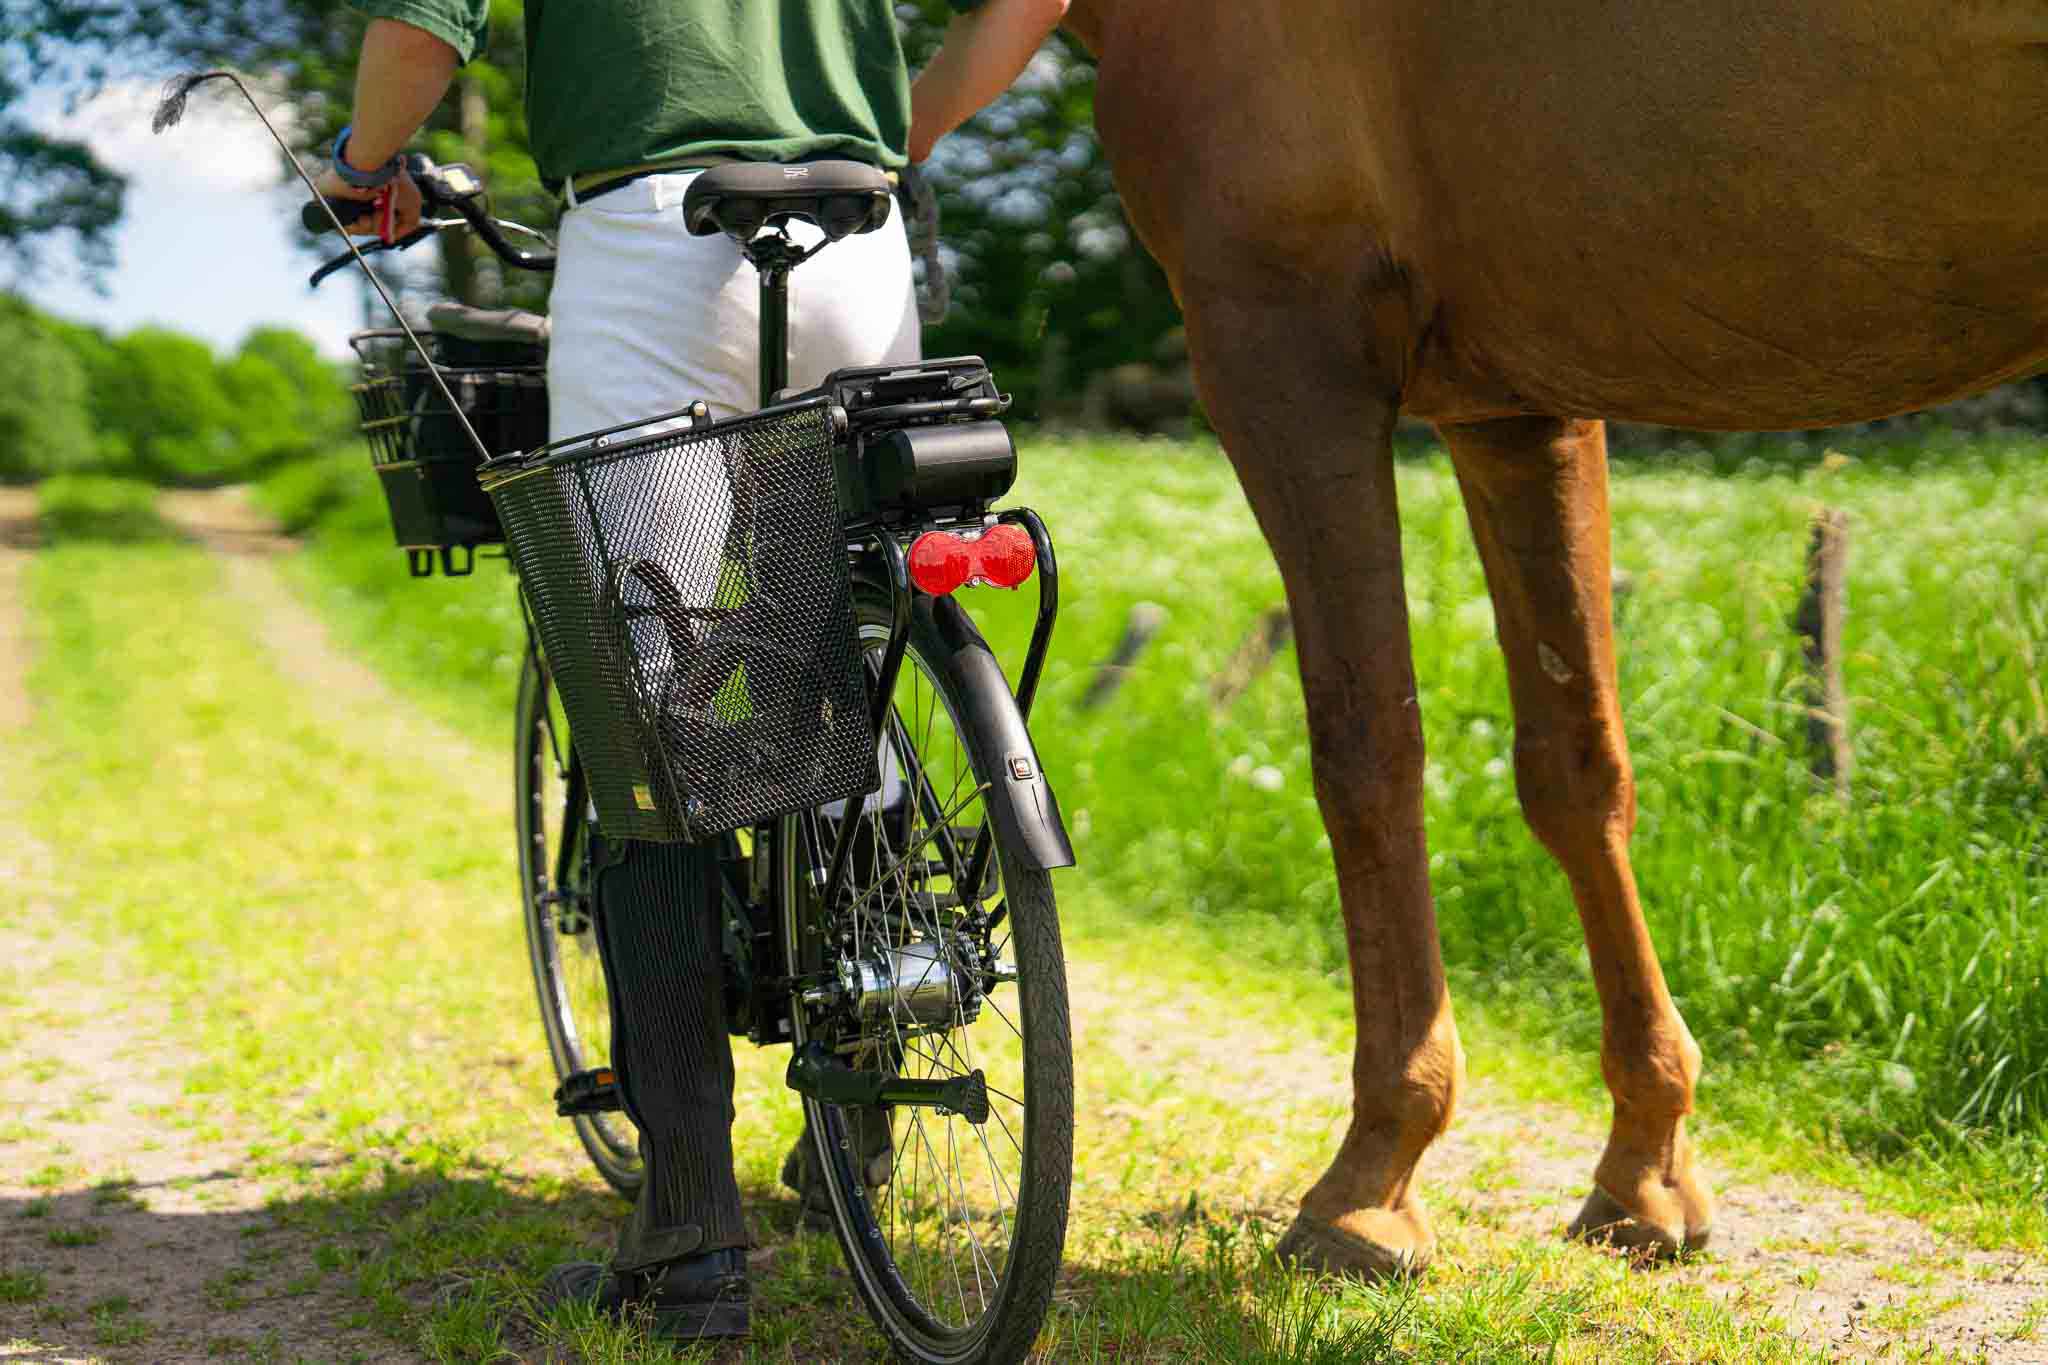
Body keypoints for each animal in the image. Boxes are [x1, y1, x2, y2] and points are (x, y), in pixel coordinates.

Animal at [1060, 0, 2048, 1274]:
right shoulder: (1515, 402)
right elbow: (1573, 771)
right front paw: (1646, 1168)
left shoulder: (1276, 340)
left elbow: (1363, 756)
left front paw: (1368, 1181)